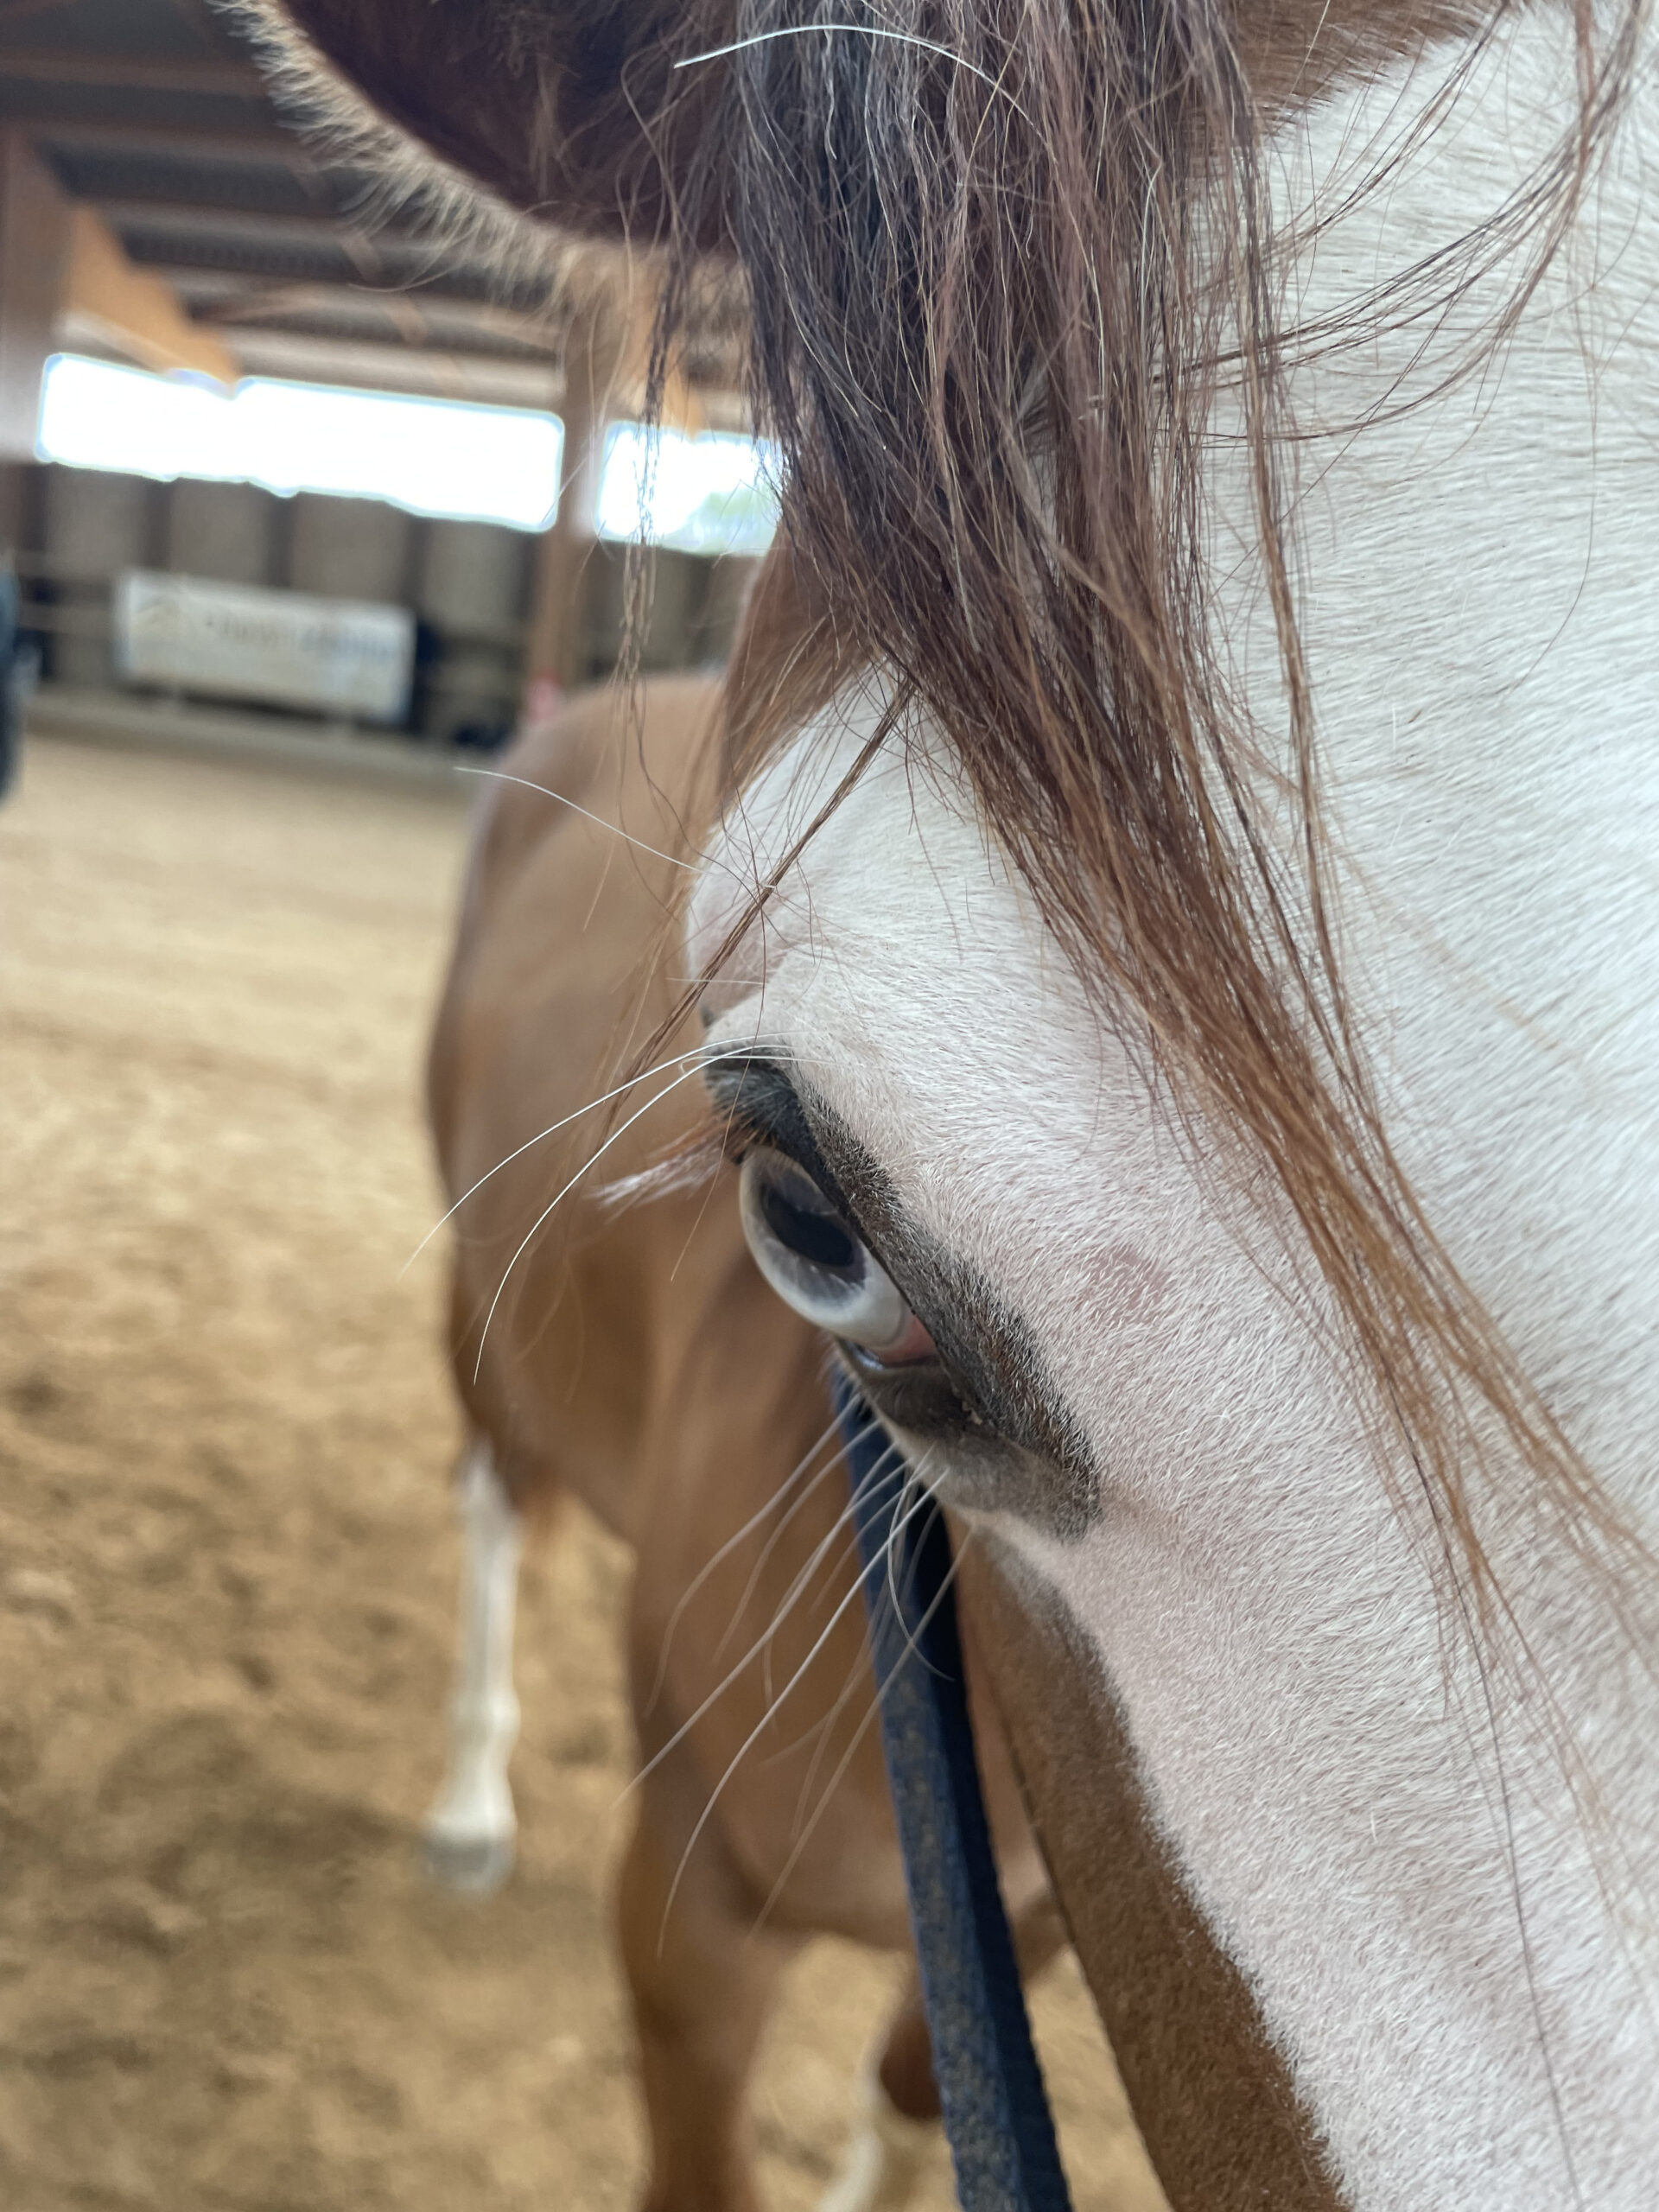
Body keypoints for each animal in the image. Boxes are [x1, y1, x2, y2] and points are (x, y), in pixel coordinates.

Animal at [421, 672, 1066, 2211]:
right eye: (815, 1217)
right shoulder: (693, 1910)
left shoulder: (1026, 1944)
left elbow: (906, 2100)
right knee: (493, 1512)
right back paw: (470, 1804)